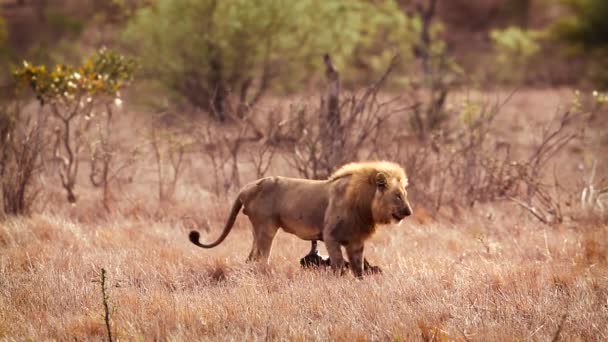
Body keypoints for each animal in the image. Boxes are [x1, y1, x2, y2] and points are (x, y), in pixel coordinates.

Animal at [188, 161, 410, 278]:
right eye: (398, 195)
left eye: (404, 194)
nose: (409, 212)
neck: (365, 205)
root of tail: (246, 188)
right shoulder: (330, 236)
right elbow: (338, 264)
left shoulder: (356, 241)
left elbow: (359, 266)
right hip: (266, 227)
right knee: (261, 257)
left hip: (256, 230)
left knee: (250, 257)